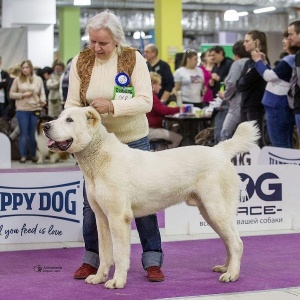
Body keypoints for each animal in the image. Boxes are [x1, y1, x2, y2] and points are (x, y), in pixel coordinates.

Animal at [42, 106, 260, 290]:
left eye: (69, 120)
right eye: (59, 117)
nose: (45, 126)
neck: (98, 160)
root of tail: (219, 151)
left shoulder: (118, 218)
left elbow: (119, 254)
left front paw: (117, 281)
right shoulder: (102, 218)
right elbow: (104, 253)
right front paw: (99, 277)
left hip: (217, 209)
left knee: (237, 242)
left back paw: (232, 274)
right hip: (210, 212)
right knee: (228, 241)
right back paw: (226, 267)